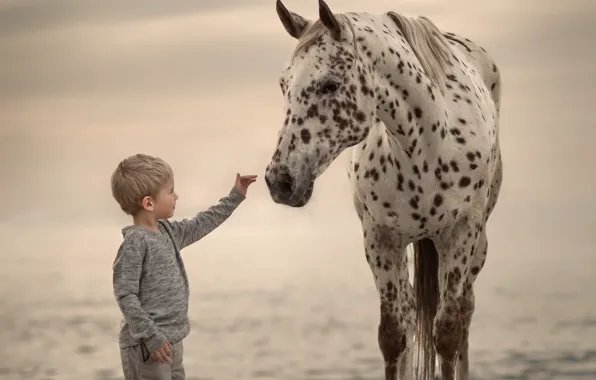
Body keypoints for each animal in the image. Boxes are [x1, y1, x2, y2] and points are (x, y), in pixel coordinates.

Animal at [266, 0, 502, 380]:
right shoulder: (380, 239)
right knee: (409, 311)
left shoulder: (460, 234)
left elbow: (448, 335)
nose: (280, 181)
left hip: (476, 248)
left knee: (464, 315)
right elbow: (393, 336)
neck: (425, 150)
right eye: (283, 84)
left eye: (330, 84)